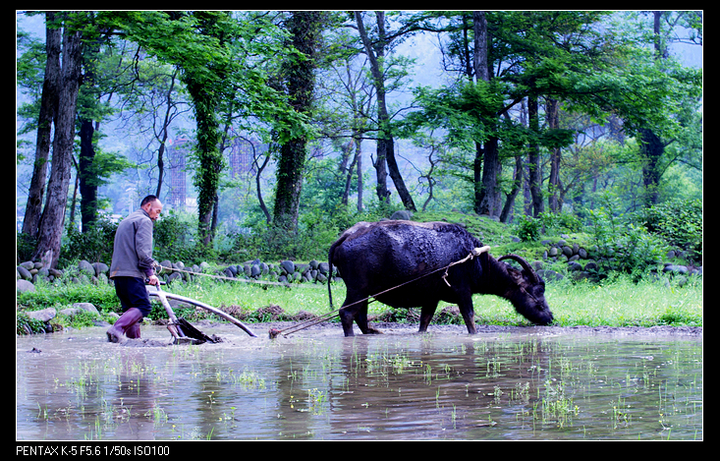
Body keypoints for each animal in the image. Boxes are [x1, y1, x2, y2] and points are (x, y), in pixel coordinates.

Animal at [330, 219, 556, 334]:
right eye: (536, 291)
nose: (550, 317)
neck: (473, 257)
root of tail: (347, 236)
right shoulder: (463, 292)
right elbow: (470, 319)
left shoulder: (431, 298)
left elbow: (425, 322)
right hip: (357, 290)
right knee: (346, 313)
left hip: (364, 293)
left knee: (360, 315)